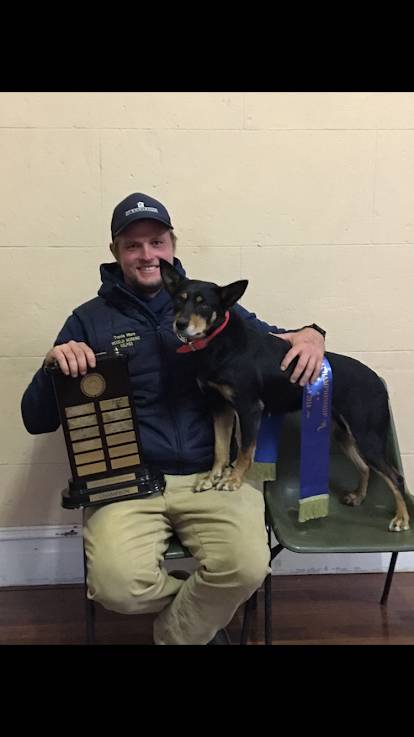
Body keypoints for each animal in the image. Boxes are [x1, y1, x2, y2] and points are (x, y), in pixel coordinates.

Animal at [159, 259, 409, 532]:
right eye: (179, 300)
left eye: (204, 304)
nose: (180, 324)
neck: (218, 343)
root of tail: (379, 383)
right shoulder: (220, 407)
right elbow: (220, 448)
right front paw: (210, 477)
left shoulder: (249, 408)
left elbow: (245, 451)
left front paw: (233, 480)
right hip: (343, 434)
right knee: (365, 467)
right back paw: (358, 497)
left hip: (367, 435)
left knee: (395, 477)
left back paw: (401, 519)